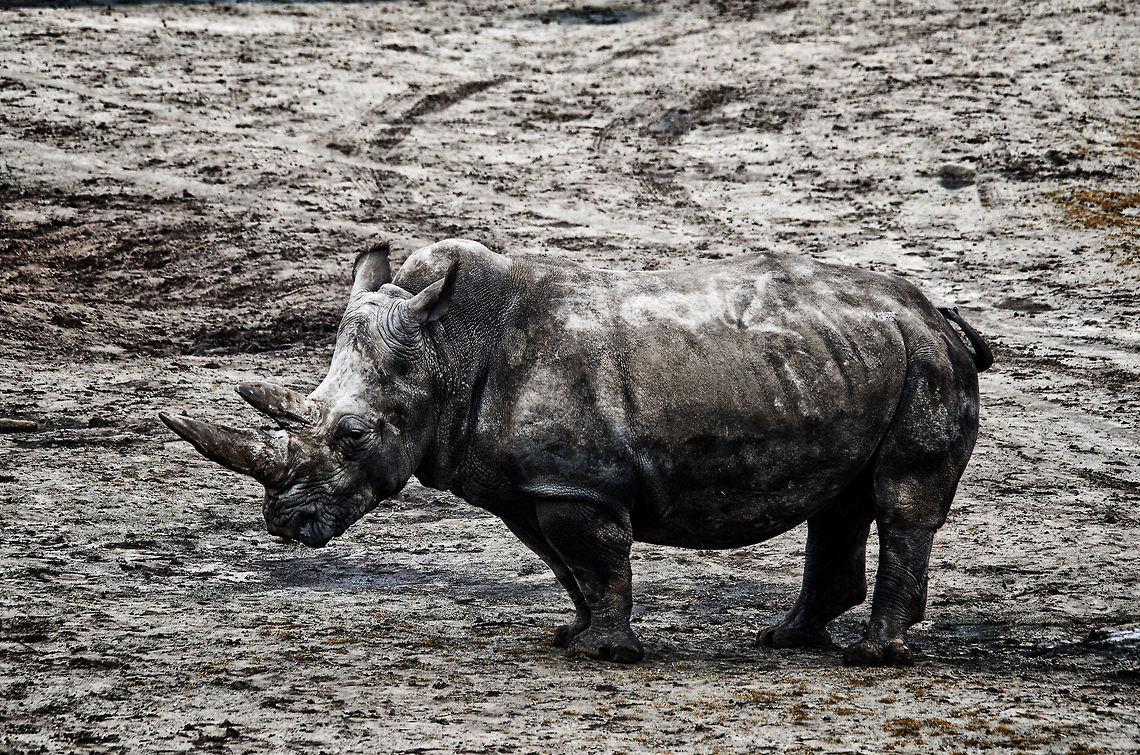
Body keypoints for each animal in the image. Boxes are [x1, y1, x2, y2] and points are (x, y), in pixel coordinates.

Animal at [161, 238, 992, 666]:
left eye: (353, 435)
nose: (283, 521)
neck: (446, 347)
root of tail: (938, 313)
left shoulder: (577, 484)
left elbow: (598, 561)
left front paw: (609, 653)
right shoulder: (533, 484)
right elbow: (568, 568)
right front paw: (573, 636)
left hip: (922, 363)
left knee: (899, 497)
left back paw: (872, 656)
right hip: (856, 360)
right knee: (842, 498)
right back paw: (788, 639)